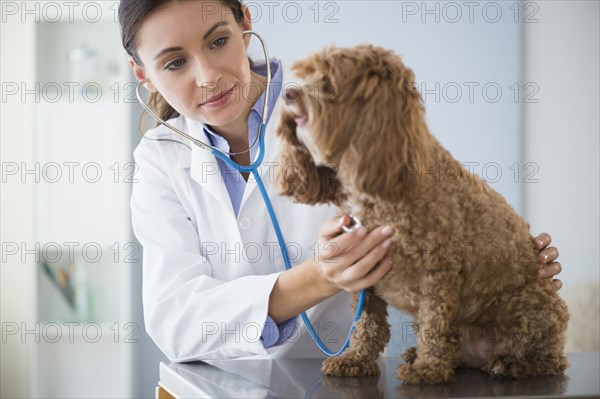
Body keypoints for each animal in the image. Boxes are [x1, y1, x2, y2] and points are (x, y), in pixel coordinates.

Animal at [274, 45, 568, 386]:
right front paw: (355, 359)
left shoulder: (438, 271)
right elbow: (367, 323)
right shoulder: (366, 279)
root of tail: (480, 354)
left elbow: (434, 323)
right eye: (304, 75)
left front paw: (428, 369)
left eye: (329, 81)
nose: (289, 93)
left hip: (531, 307)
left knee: (550, 359)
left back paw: (510, 363)